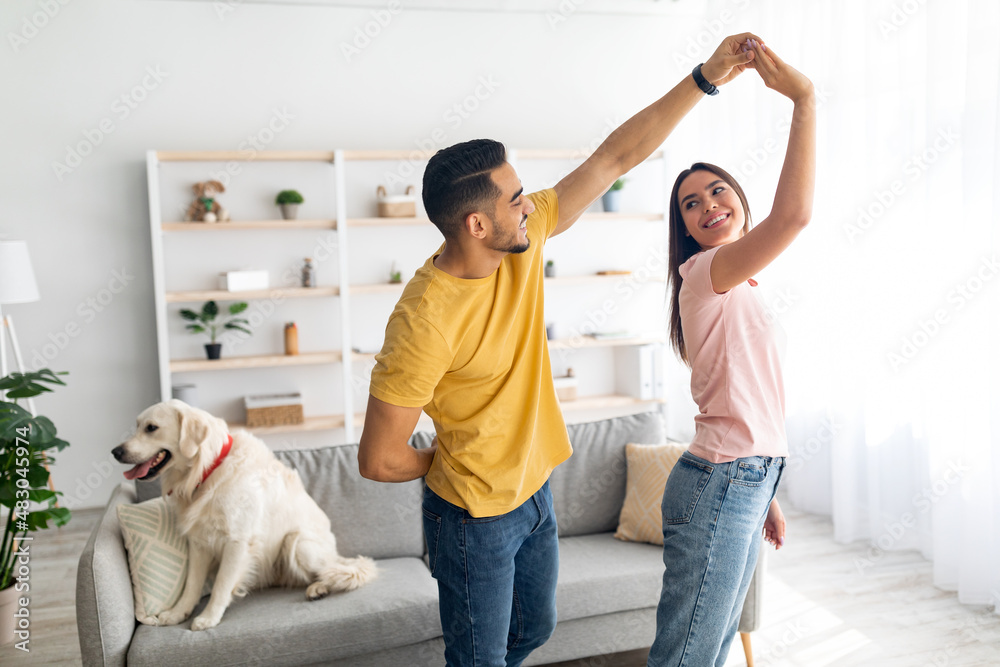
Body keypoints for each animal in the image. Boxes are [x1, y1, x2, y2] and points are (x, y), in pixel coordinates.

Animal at [110, 402, 376, 632]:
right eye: (137, 425)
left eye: (151, 428)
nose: (115, 451)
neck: (209, 470)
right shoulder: (199, 542)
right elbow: (191, 585)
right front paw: (178, 613)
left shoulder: (237, 541)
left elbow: (221, 585)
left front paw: (208, 617)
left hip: (298, 543)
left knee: (335, 571)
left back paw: (319, 587)